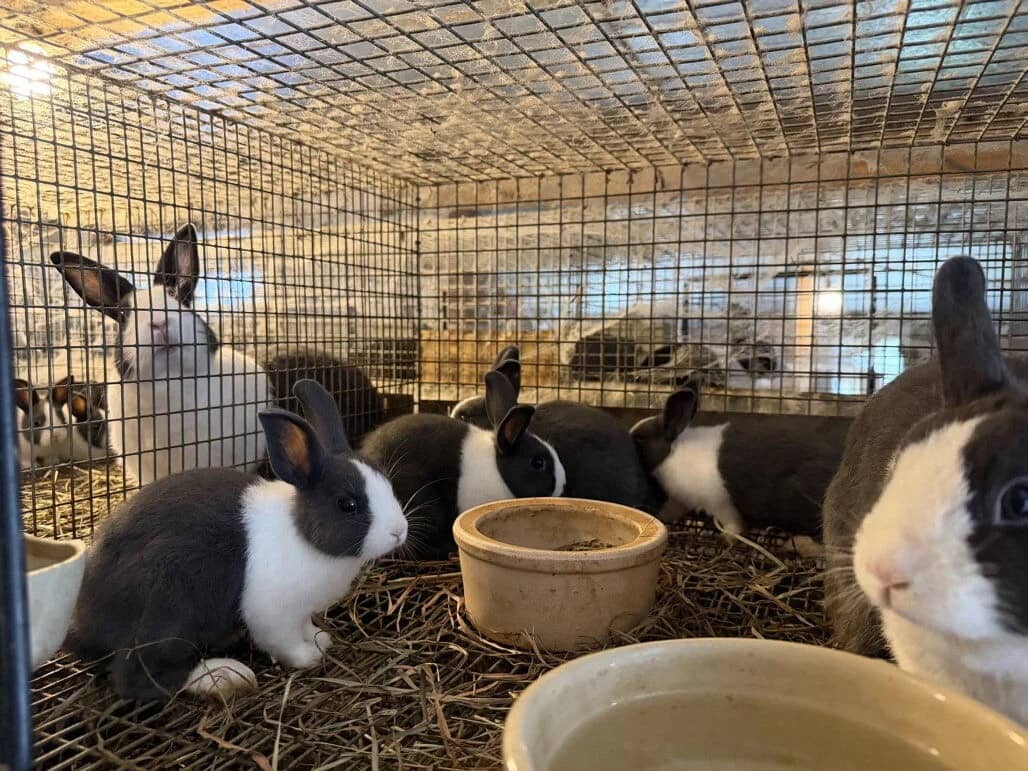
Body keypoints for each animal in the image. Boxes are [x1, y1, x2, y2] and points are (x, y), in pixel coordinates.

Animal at [64, 379, 408, 702]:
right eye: (348, 504)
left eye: (388, 483)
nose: (399, 531)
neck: (302, 534)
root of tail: (83, 620)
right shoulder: (273, 614)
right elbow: (284, 641)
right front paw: (308, 656)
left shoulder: (301, 612)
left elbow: (306, 627)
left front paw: (319, 639)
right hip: (168, 604)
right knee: (138, 675)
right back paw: (225, 677)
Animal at [630, 383, 850, 537]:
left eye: (640, 437)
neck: (673, 454)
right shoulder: (682, 500)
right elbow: (670, 511)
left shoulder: (721, 505)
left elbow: (733, 527)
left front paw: (727, 538)